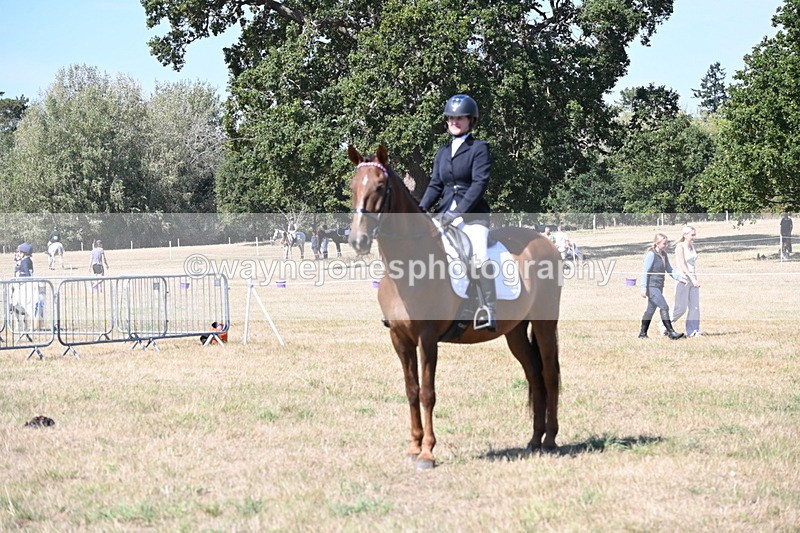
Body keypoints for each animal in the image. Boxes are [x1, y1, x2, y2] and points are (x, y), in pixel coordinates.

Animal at [347, 145, 563, 470]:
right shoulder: (399, 339)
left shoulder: (427, 339)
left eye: (380, 187)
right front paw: (413, 447)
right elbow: (411, 391)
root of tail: (544, 242)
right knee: (534, 374)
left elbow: (427, 393)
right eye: (352, 187)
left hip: (544, 324)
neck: (409, 265)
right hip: (514, 332)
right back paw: (534, 440)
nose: (357, 240)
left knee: (549, 373)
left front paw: (427, 453)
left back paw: (549, 440)